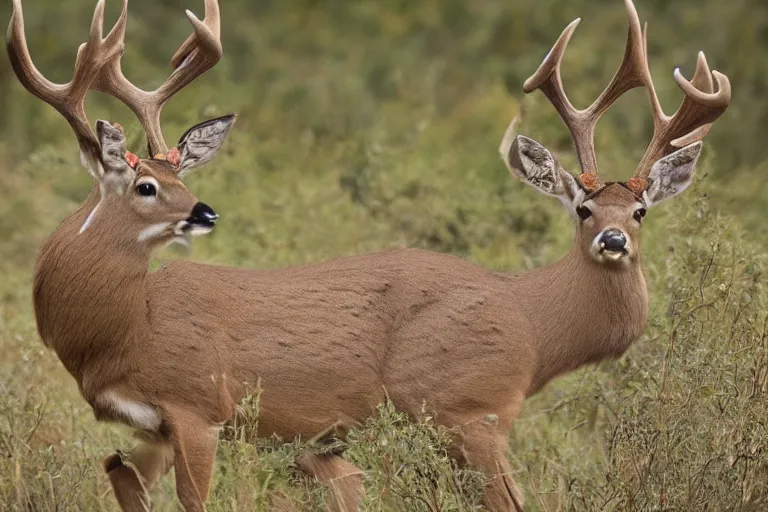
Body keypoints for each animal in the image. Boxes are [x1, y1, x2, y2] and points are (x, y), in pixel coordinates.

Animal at [9, 0, 732, 510]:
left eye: (640, 210)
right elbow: (122, 479)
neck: (124, 329)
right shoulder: (160, 427)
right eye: (147, 184)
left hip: (465, 409)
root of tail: (520, 314)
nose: (614, 239)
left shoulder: (197, 407)